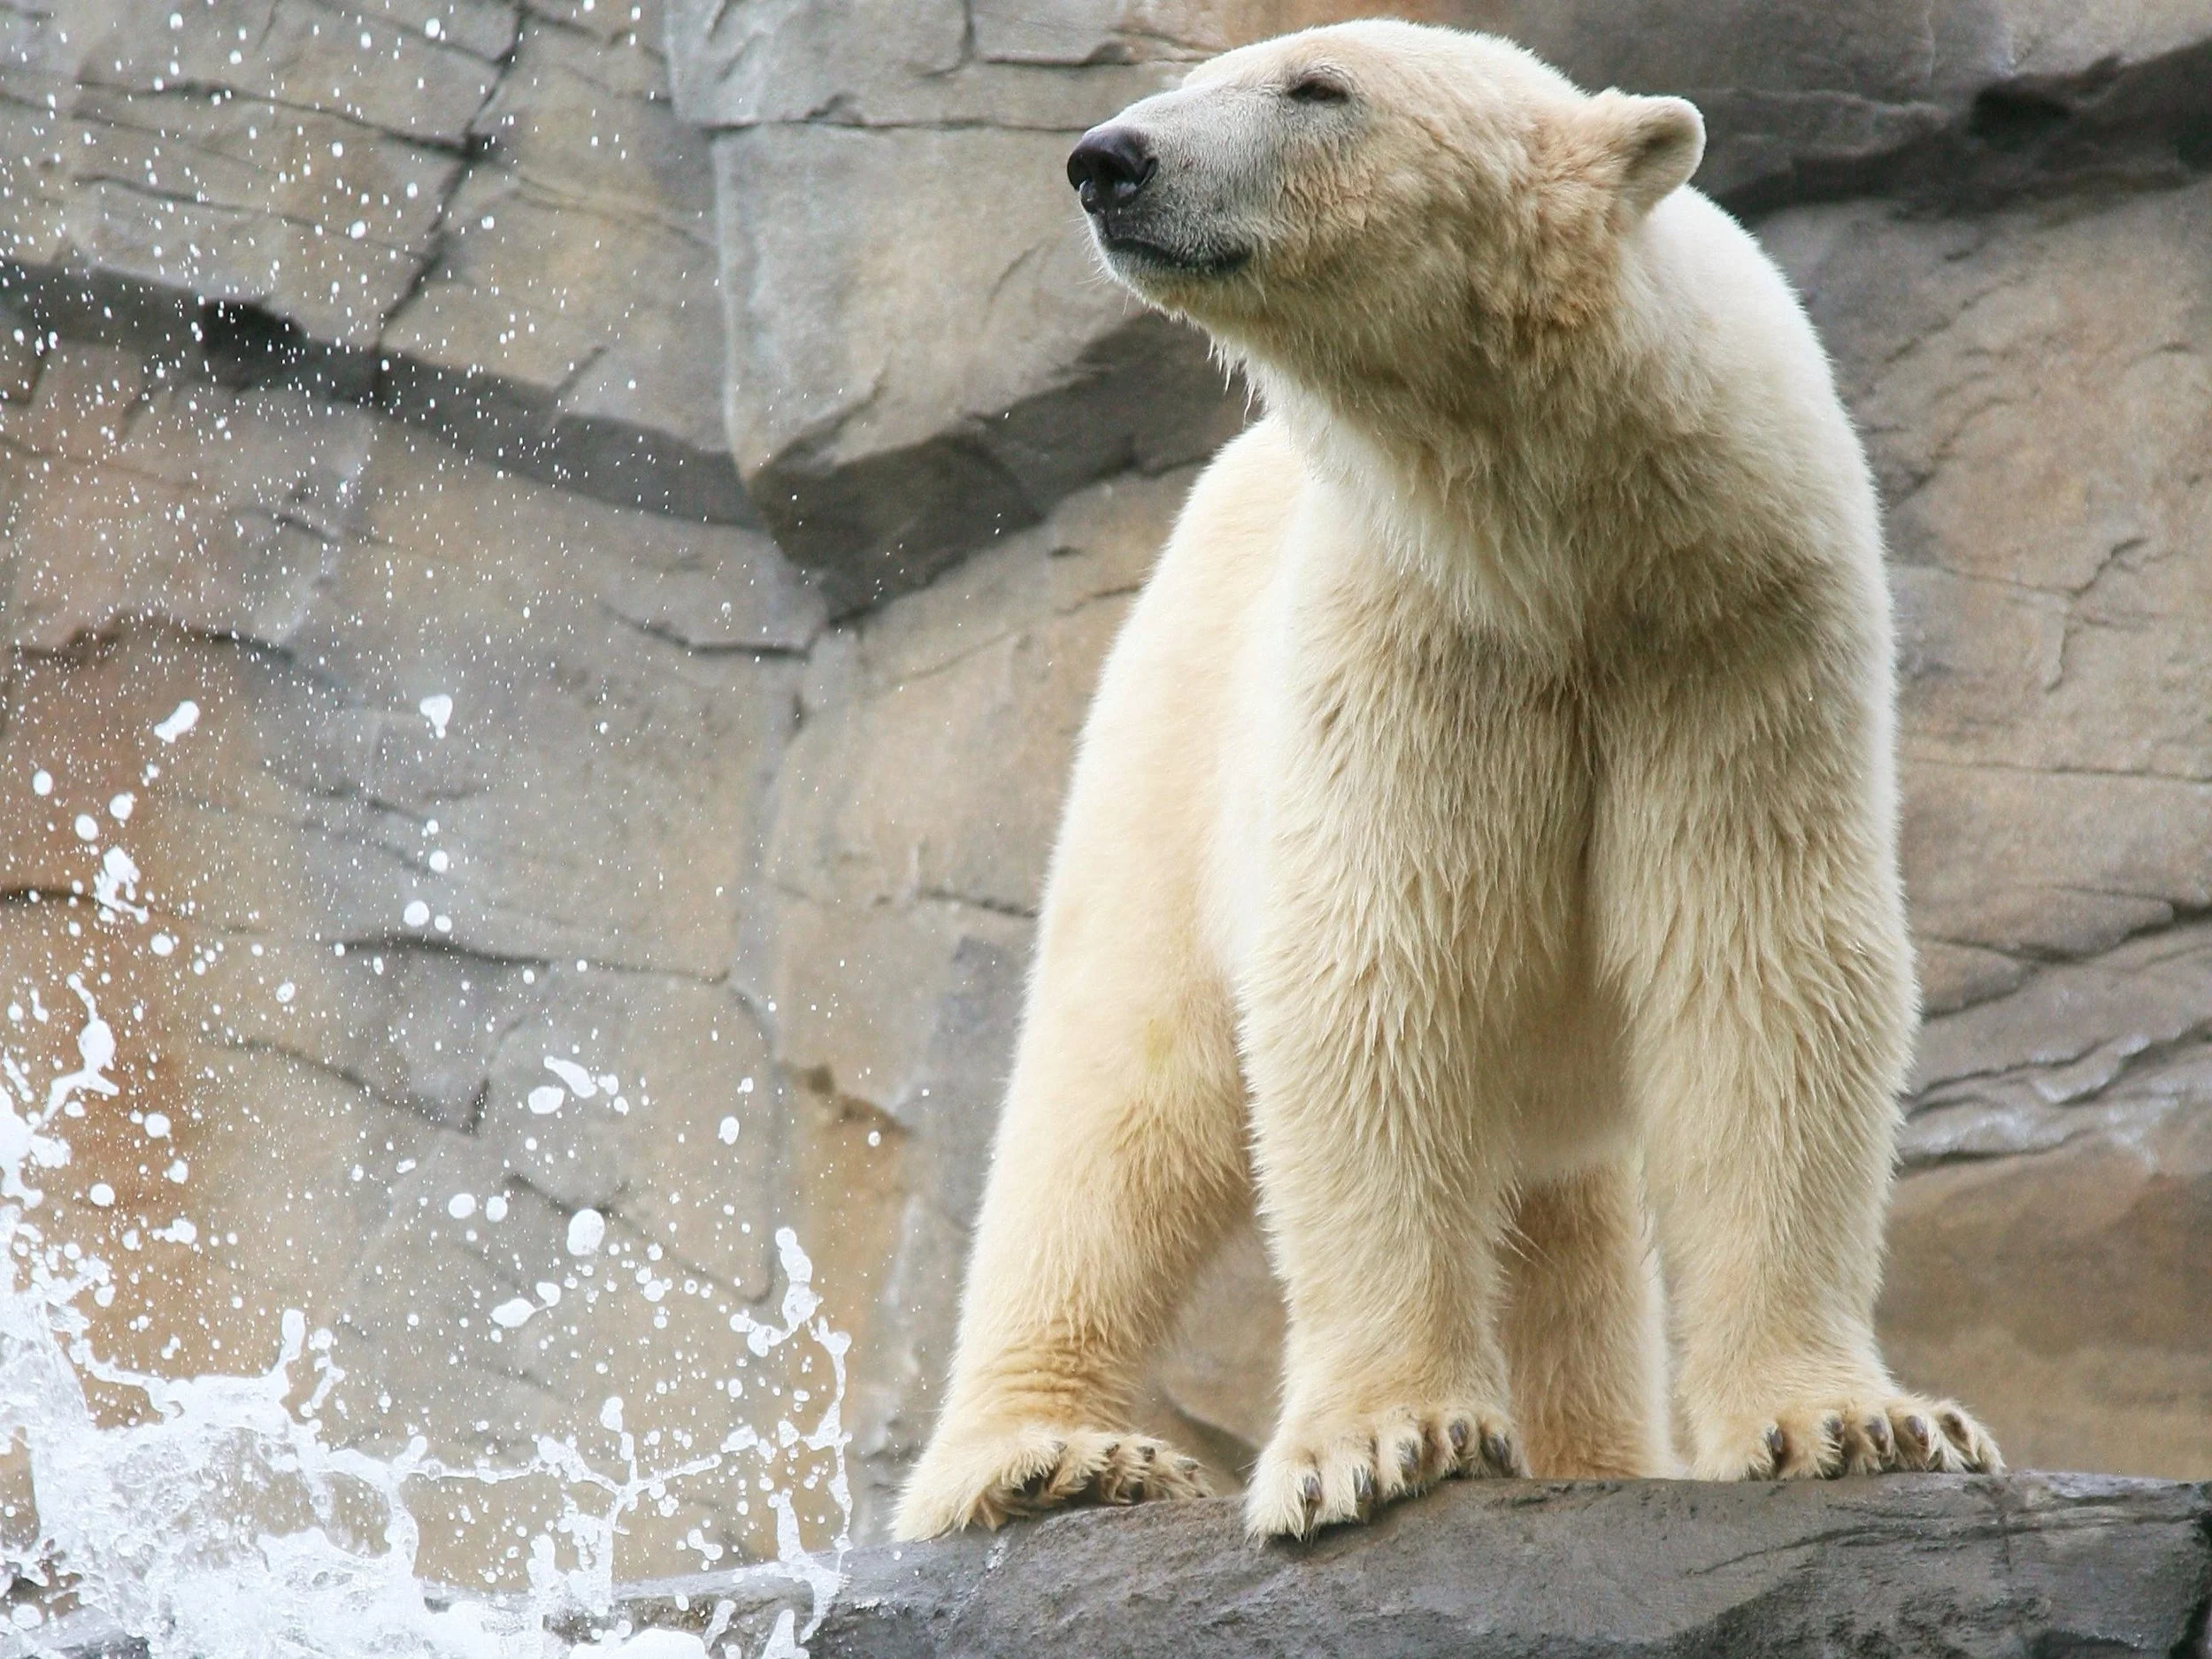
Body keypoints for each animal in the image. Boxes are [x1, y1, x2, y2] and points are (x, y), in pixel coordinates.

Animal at [893, 19, 2002, 1544]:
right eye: (1199, 75)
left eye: (1317, 89)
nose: (1108, 158)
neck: (1560, 530)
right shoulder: (1409, 632)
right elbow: (1378, 970)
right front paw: (1384, 1438)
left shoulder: (1741, 623)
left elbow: (1760, 961)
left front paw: (1854, 1420)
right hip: (1168, 745)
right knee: (1116, 1100)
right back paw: (1051, 1453)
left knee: (1560, 1210)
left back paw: (1601, 1450)